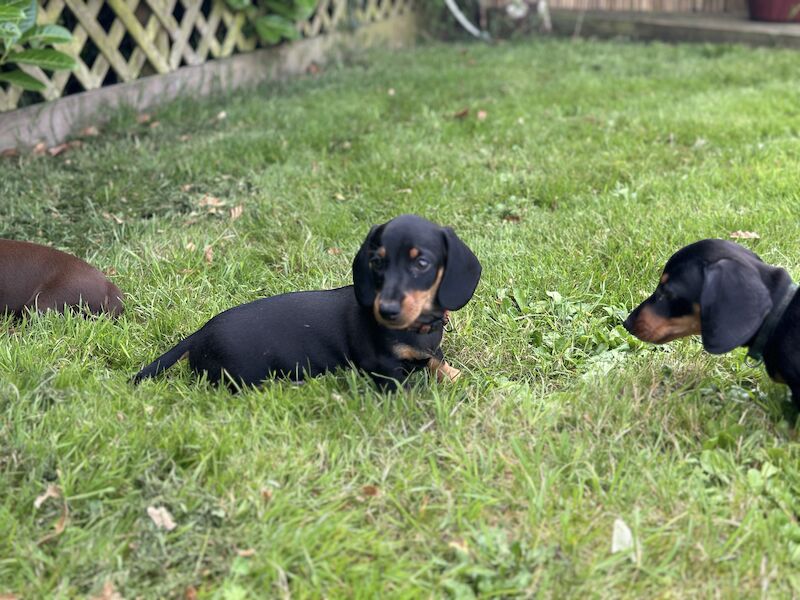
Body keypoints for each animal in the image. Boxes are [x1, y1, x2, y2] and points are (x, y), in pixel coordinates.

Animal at [133, 213, 482, 392]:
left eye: (422, 263)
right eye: (377, 262)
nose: (386, 311)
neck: (417, 327)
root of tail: (200, 333)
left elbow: (436, 360)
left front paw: (457, 375)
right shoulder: (381, 367)